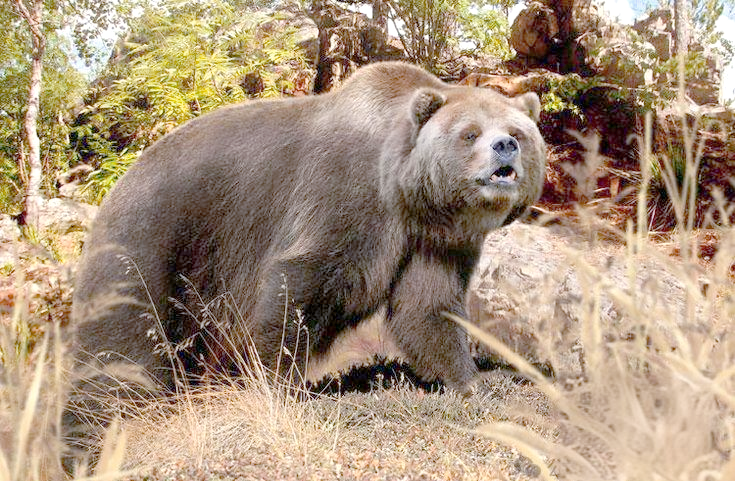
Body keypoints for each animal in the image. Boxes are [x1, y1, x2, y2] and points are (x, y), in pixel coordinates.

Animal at [65, 61, 546, 463]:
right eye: (470, 133)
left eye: (518, 132)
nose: (504, 146)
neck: (405, 194)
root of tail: (116, 184)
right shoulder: (341, 197)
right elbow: (297, 286)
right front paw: (276, 386)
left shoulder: (435, 241)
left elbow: (428, 309)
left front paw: (470, 381)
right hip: (153, 243)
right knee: (120, 347)